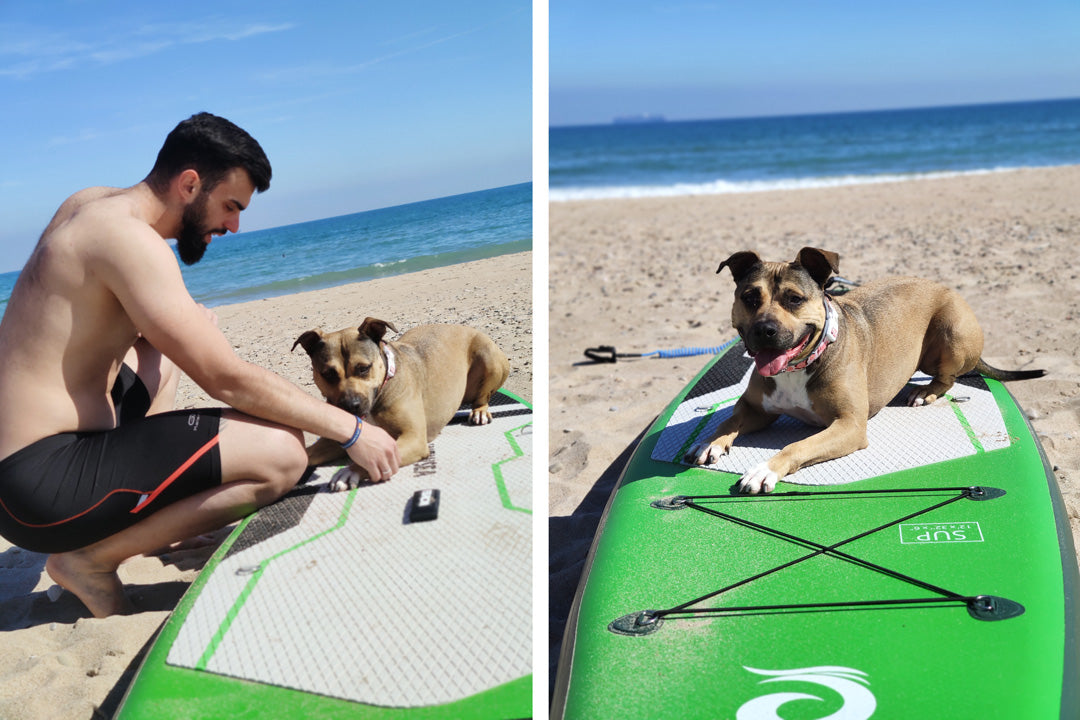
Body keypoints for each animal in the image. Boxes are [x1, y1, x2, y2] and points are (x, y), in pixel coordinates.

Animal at [291, 319, 509, 490]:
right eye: (328, 374)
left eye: (363, 368)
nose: (351, 406)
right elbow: (307, 454)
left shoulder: (413, 438)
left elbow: (377, 457)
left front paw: (350, 471)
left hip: (488, 356)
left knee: (482, 396)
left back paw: (479, 411)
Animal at [686, 248, 1041, 496]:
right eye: (749, 297)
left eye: (794, 299)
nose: (764, 330)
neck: (800, 364)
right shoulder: (756, 408)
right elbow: (729, 420)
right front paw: (710, 442)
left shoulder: (849, 425)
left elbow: (796, 445)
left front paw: (764, 470)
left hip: (951, 332)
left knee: (948, 377)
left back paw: (925, 391)